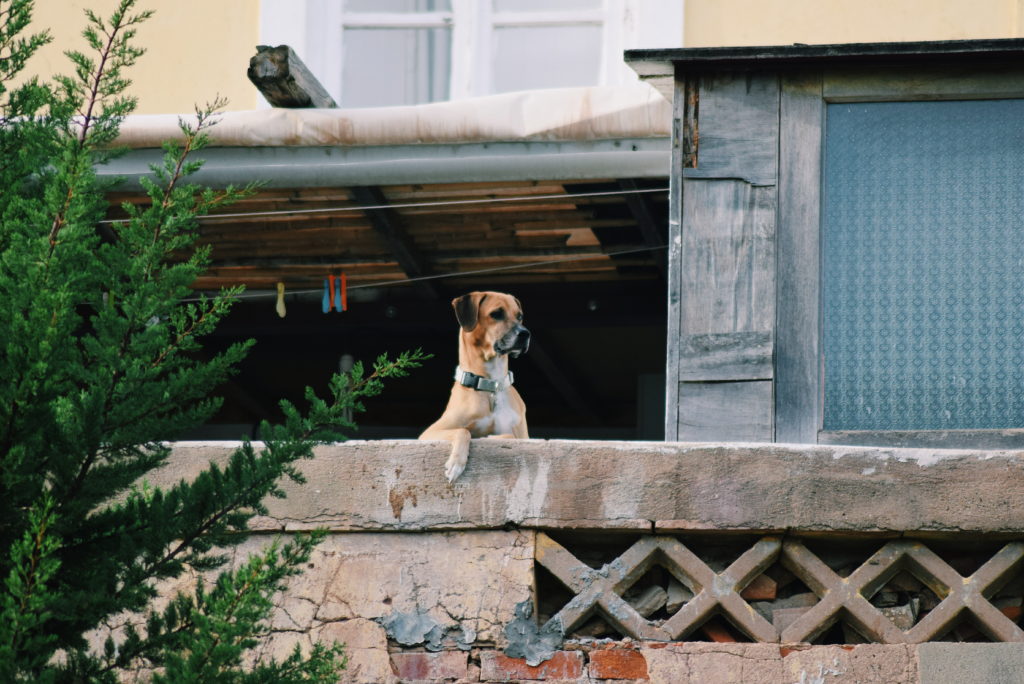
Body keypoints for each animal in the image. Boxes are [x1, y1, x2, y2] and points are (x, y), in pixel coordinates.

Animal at [421, 290, 532, 481]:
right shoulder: (429, 433)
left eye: (520, 316)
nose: (526, 334)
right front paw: (456, 462)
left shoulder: (522, 436)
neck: (490, 386)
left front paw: (486, 438)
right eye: (496, 314)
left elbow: (509, 435)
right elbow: (463, 431)